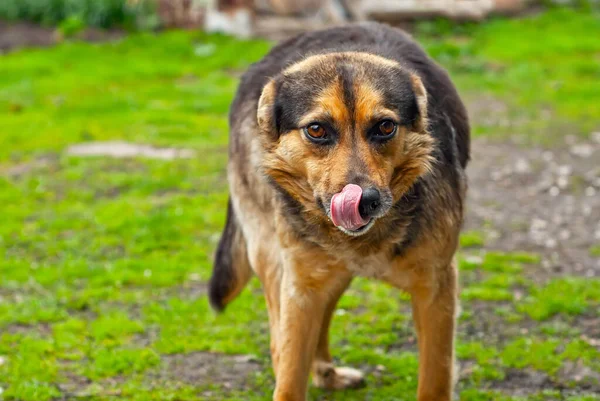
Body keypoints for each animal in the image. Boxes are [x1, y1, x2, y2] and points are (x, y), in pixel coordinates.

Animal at [210, 21, 468, 400]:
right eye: (316, 130)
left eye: (385, 127)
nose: (364, 201)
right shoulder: (299, 287)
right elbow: (288, 377)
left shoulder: (436, 288)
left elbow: (435, 379)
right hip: (278, 263)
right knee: (280, 341)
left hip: (330, 277)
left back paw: (326, 374)